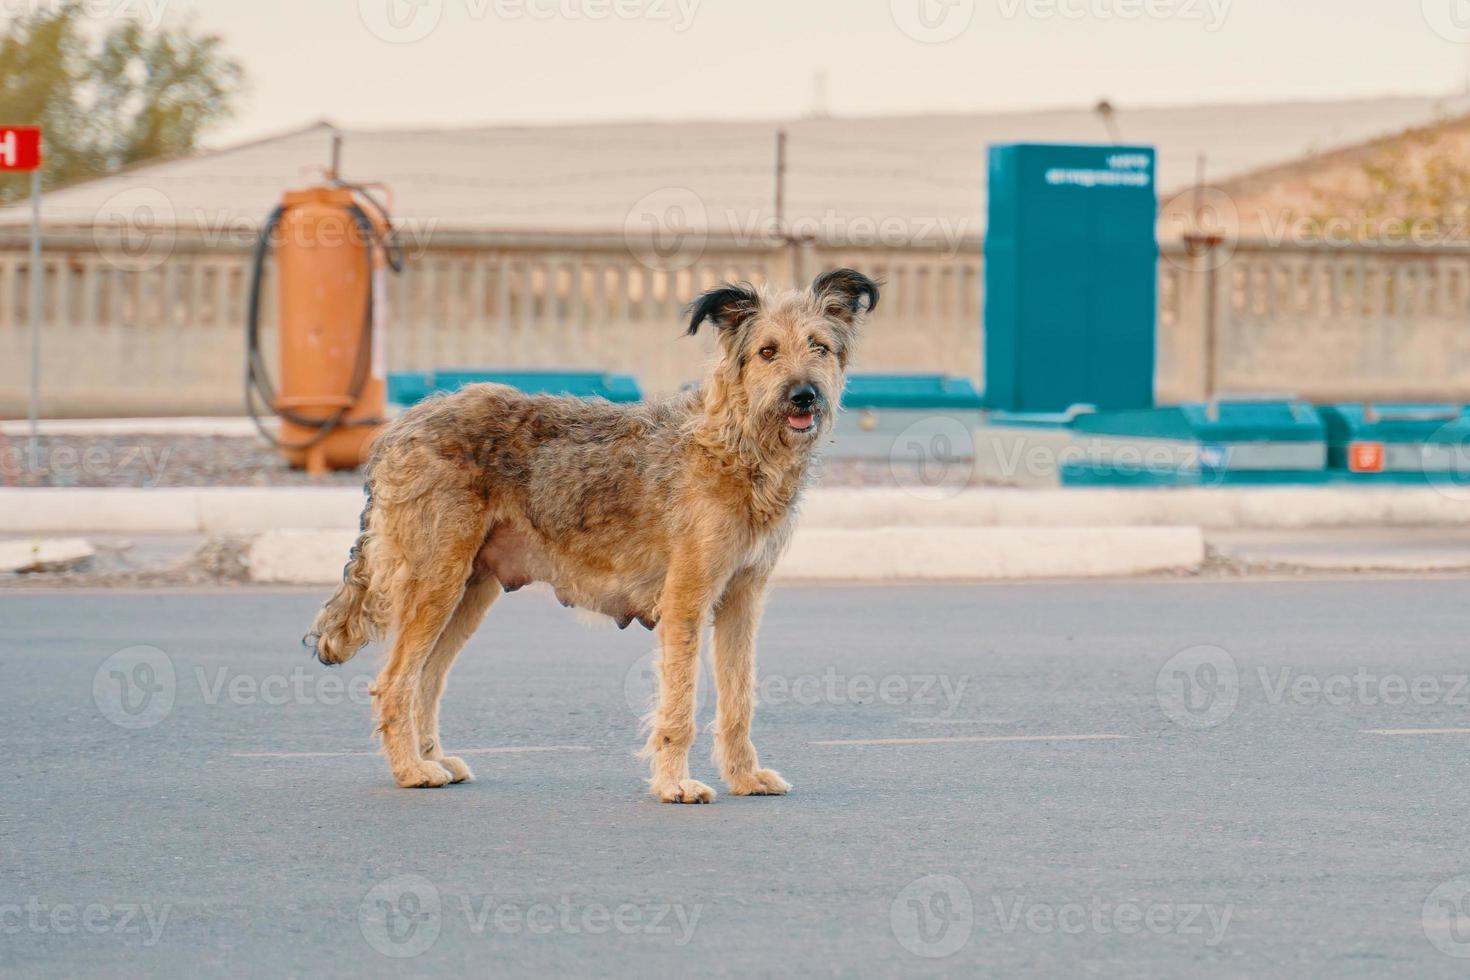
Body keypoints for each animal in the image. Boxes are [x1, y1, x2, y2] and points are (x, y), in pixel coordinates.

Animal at [305, 270, 876, 805]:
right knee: (395, 683)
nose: (803, 396)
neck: (736, 442)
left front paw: (744, 778)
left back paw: (433, 760)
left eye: (819, 347)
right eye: (767, 352)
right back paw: (410, 771)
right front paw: (676, 785)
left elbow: (739, 702)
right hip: (435, 587)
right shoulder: (686, 602)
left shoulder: (742, 600)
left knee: (426, 680)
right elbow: (679, 707)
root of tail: (401, 427)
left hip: (467, 595)